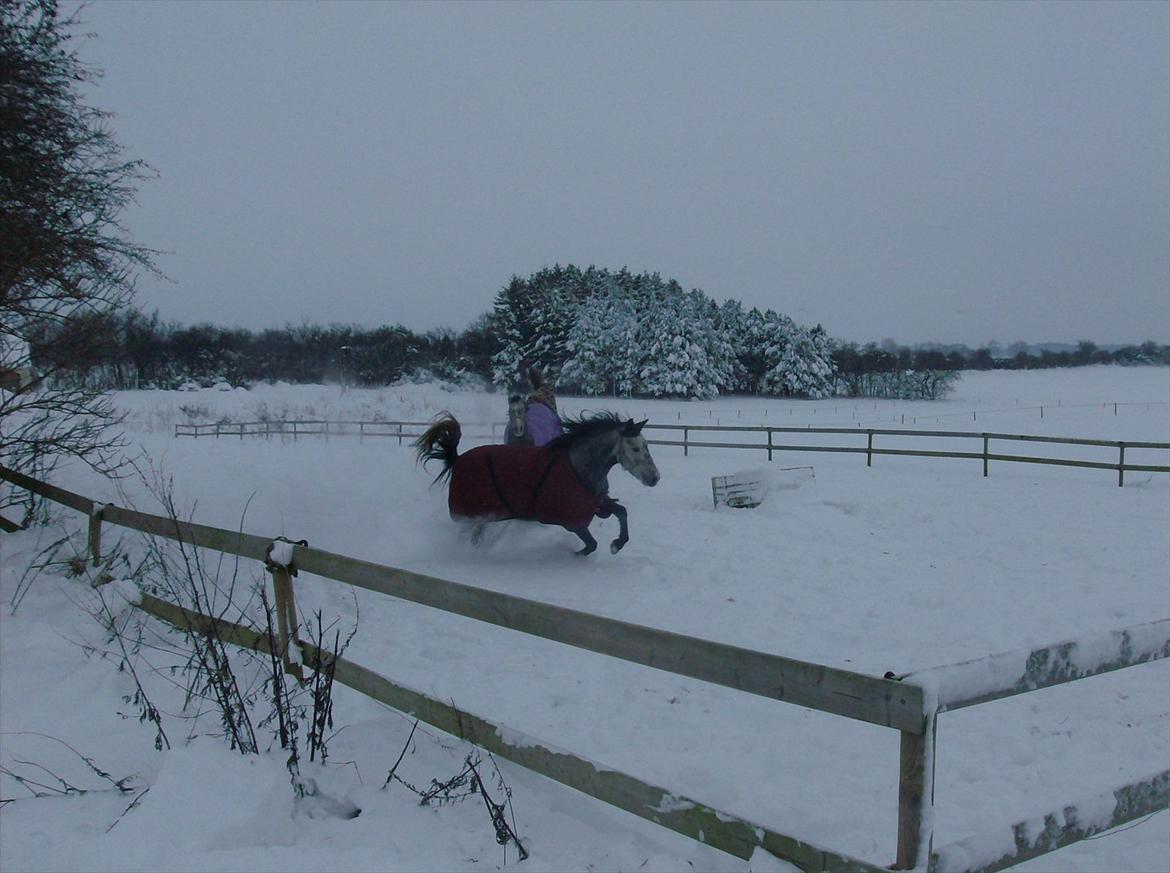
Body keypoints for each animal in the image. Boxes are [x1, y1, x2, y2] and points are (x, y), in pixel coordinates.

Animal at [418, 411, 659, 554]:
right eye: (635, 448)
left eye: (646, 445)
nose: (655, 478)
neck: (578, 465)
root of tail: (457, 459)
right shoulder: (571, 520)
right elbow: (591, 545)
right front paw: (572, 553)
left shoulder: (595, 502)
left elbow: (621, 512)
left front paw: (617, 544)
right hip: (472, 516)